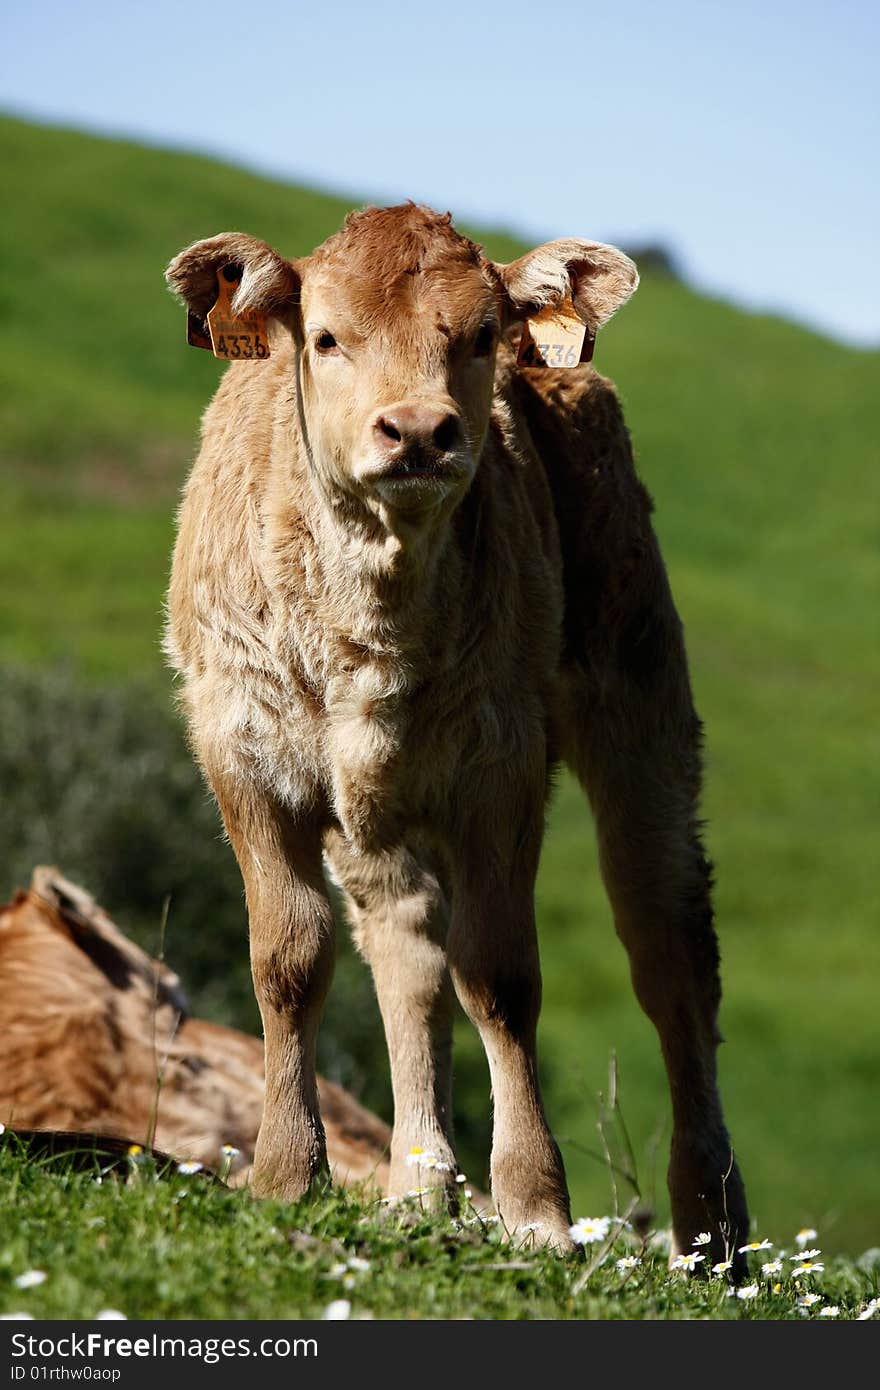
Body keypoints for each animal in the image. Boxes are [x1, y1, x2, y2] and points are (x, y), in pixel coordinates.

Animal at [163, 202, 750, 1262]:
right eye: (326, 338)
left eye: (480, 336)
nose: (420, 430)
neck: (372, 616)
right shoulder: (243, 752)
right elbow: (292, 956)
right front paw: (287, 1172)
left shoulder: (501, 765)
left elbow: (501, 975)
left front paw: (535, 1207)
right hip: (375, 817)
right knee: (407, 955)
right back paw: (419, 1186)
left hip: (642, 715)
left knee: (671, 952)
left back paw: (713, 1228)